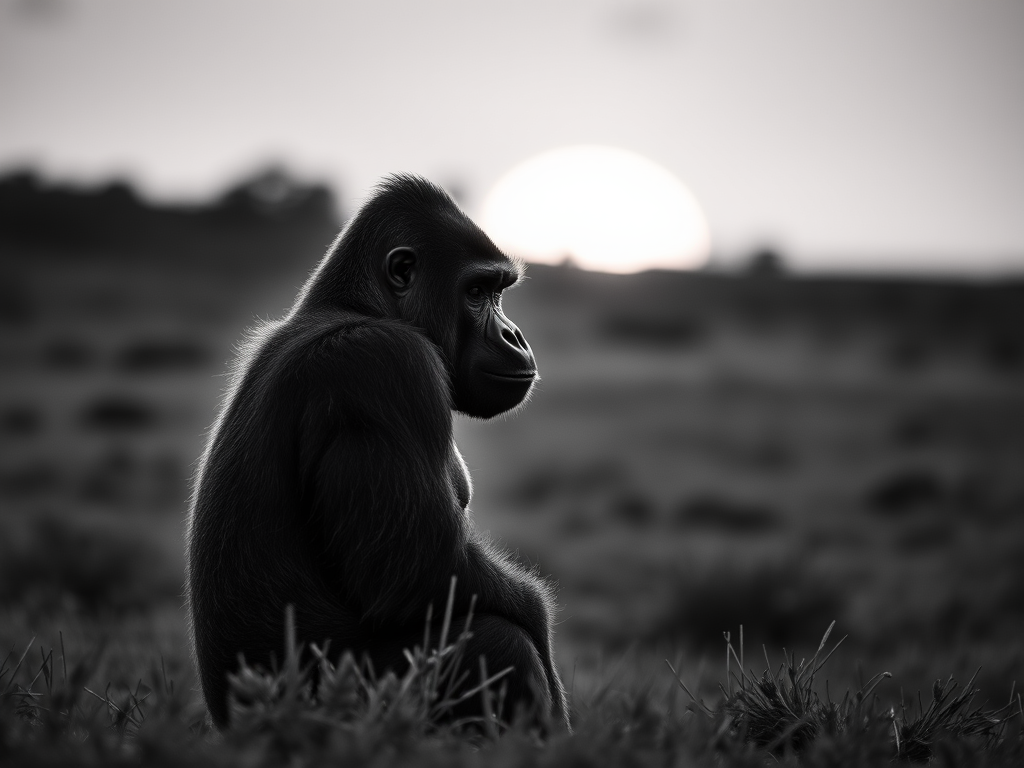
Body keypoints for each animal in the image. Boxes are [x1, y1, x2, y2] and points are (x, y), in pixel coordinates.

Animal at [185, 174, 568, 731]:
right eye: (477, 292)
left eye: (499, 291)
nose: (514, 335)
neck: (356, 307)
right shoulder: (386, 363)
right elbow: (423, 572)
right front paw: (537, 618)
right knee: (496, 641)